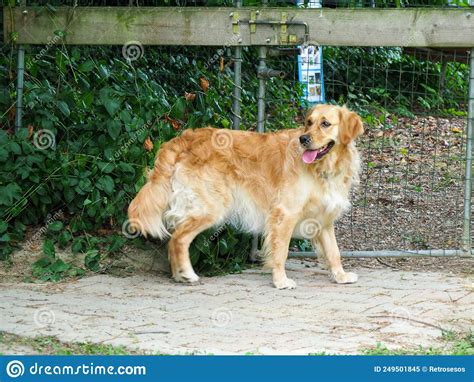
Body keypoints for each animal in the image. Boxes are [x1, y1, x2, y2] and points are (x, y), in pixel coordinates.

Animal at [126, 103, 362, 288]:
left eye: (325, 123)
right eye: (309, 122)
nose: (303, 139)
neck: (323, 168)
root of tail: (185, 138)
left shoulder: (323, 219)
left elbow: (334, 251)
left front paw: (340, 276)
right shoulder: (285, 213)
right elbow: (281, 251)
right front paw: (280, 281)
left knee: (174, 238)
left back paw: (178, 275)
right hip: (211, 207)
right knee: (178, 239)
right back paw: (187, 274)